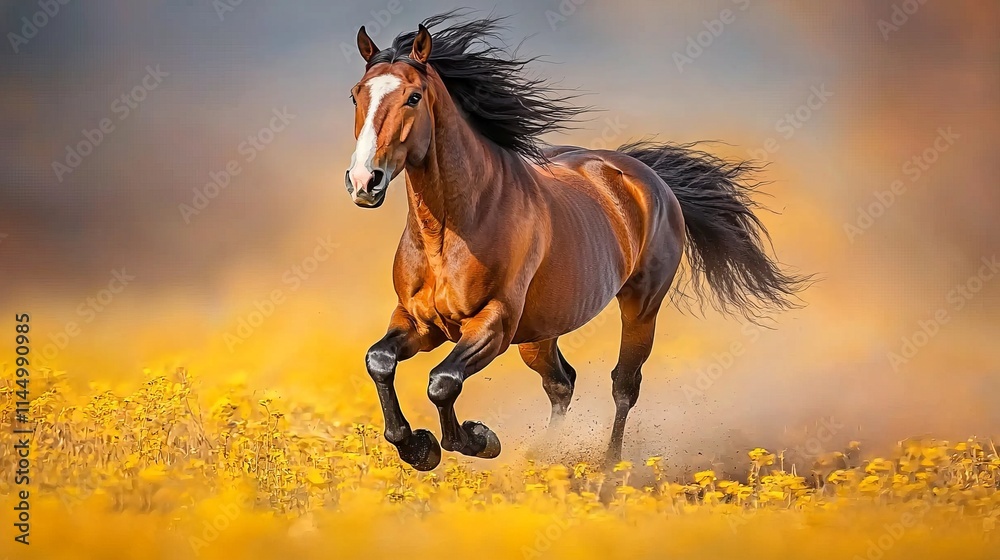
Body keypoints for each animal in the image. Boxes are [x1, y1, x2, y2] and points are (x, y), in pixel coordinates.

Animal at [344, 13, 807, 471]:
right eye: (355, 96)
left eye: (413, 97)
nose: (364, 181)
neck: (447, 233)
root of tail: (645, 175)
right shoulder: (418, 321)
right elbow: (379, 361)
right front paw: (416, 446)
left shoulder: (492, 323)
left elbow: (442, 381)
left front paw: (477, 439)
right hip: (538, 333)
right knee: (561, 383)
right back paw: (548, 456)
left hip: (640, 308)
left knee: (624, 385)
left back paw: (608, 468)